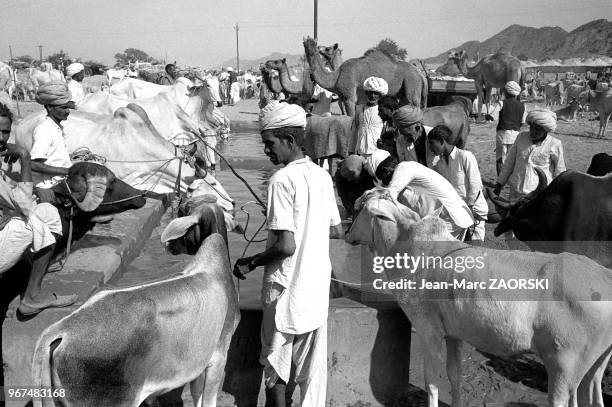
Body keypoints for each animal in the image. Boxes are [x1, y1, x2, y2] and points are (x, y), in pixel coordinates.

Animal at [346, 190, 612, 407]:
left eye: (359, 207)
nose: (347, 233)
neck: (408, 249)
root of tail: (604, 277)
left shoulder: (427, 328)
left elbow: (431, 382)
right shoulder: (453, 333)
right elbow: (454, 374)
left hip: (565, 364)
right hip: (597, 361)